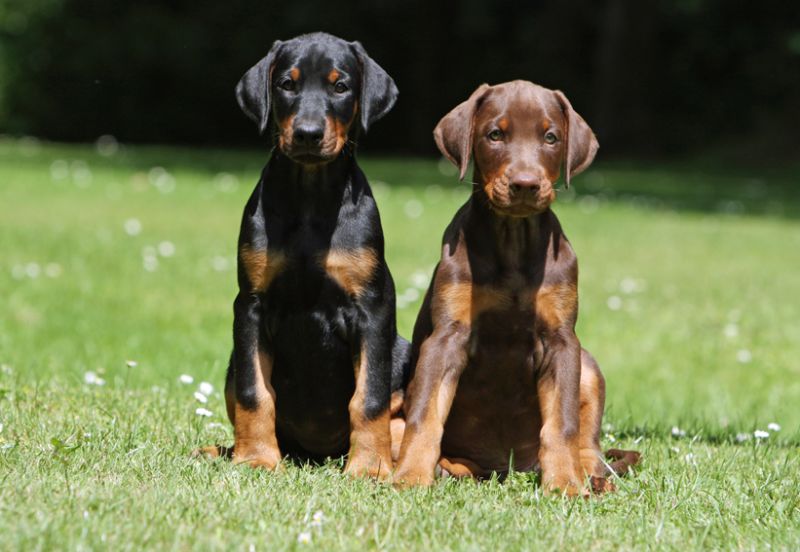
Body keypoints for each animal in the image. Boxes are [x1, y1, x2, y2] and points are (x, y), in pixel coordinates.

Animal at [193, 32, 406, 478]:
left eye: (340, 87)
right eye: (286, 85)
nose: (308, 134)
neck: (310, 198)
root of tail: (317, 454)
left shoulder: (373, 307)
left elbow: (370, 397)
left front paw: (369, 467)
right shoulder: (251, 305)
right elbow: (254, 392)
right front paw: (256, 458)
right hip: (231, 364)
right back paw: (222, 451)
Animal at [392, 81, 636, 496]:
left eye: (551, 137)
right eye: (495, 135)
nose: (525, 184)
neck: (513, 240)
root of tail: (508, 469)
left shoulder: (561, 341)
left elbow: (563, 424)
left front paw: (566, 484)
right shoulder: (446, 338)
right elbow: (424, 414)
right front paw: (410, 476)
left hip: (586, 364)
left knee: (590, 442)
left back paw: (591, 475)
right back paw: (446, 468)